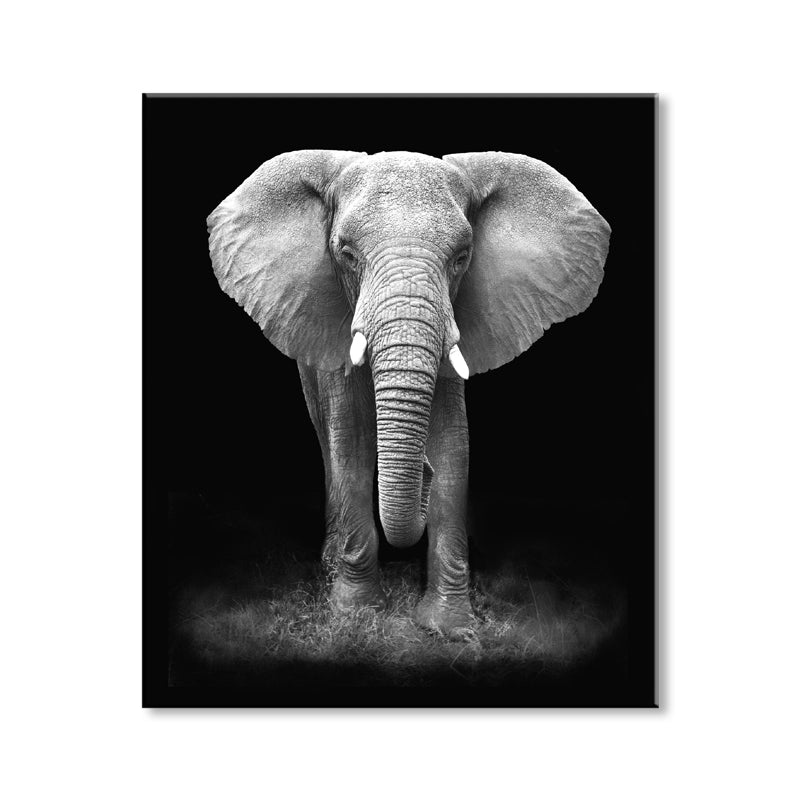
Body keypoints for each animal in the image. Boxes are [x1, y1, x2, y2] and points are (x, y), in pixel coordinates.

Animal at [207, 150, 610, 635]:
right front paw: (356, 614)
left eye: (462, 257)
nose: (423, 472)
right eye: (346, 253)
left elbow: (454, 445)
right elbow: (351, 444)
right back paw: (330, 563)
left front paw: (450, 627)